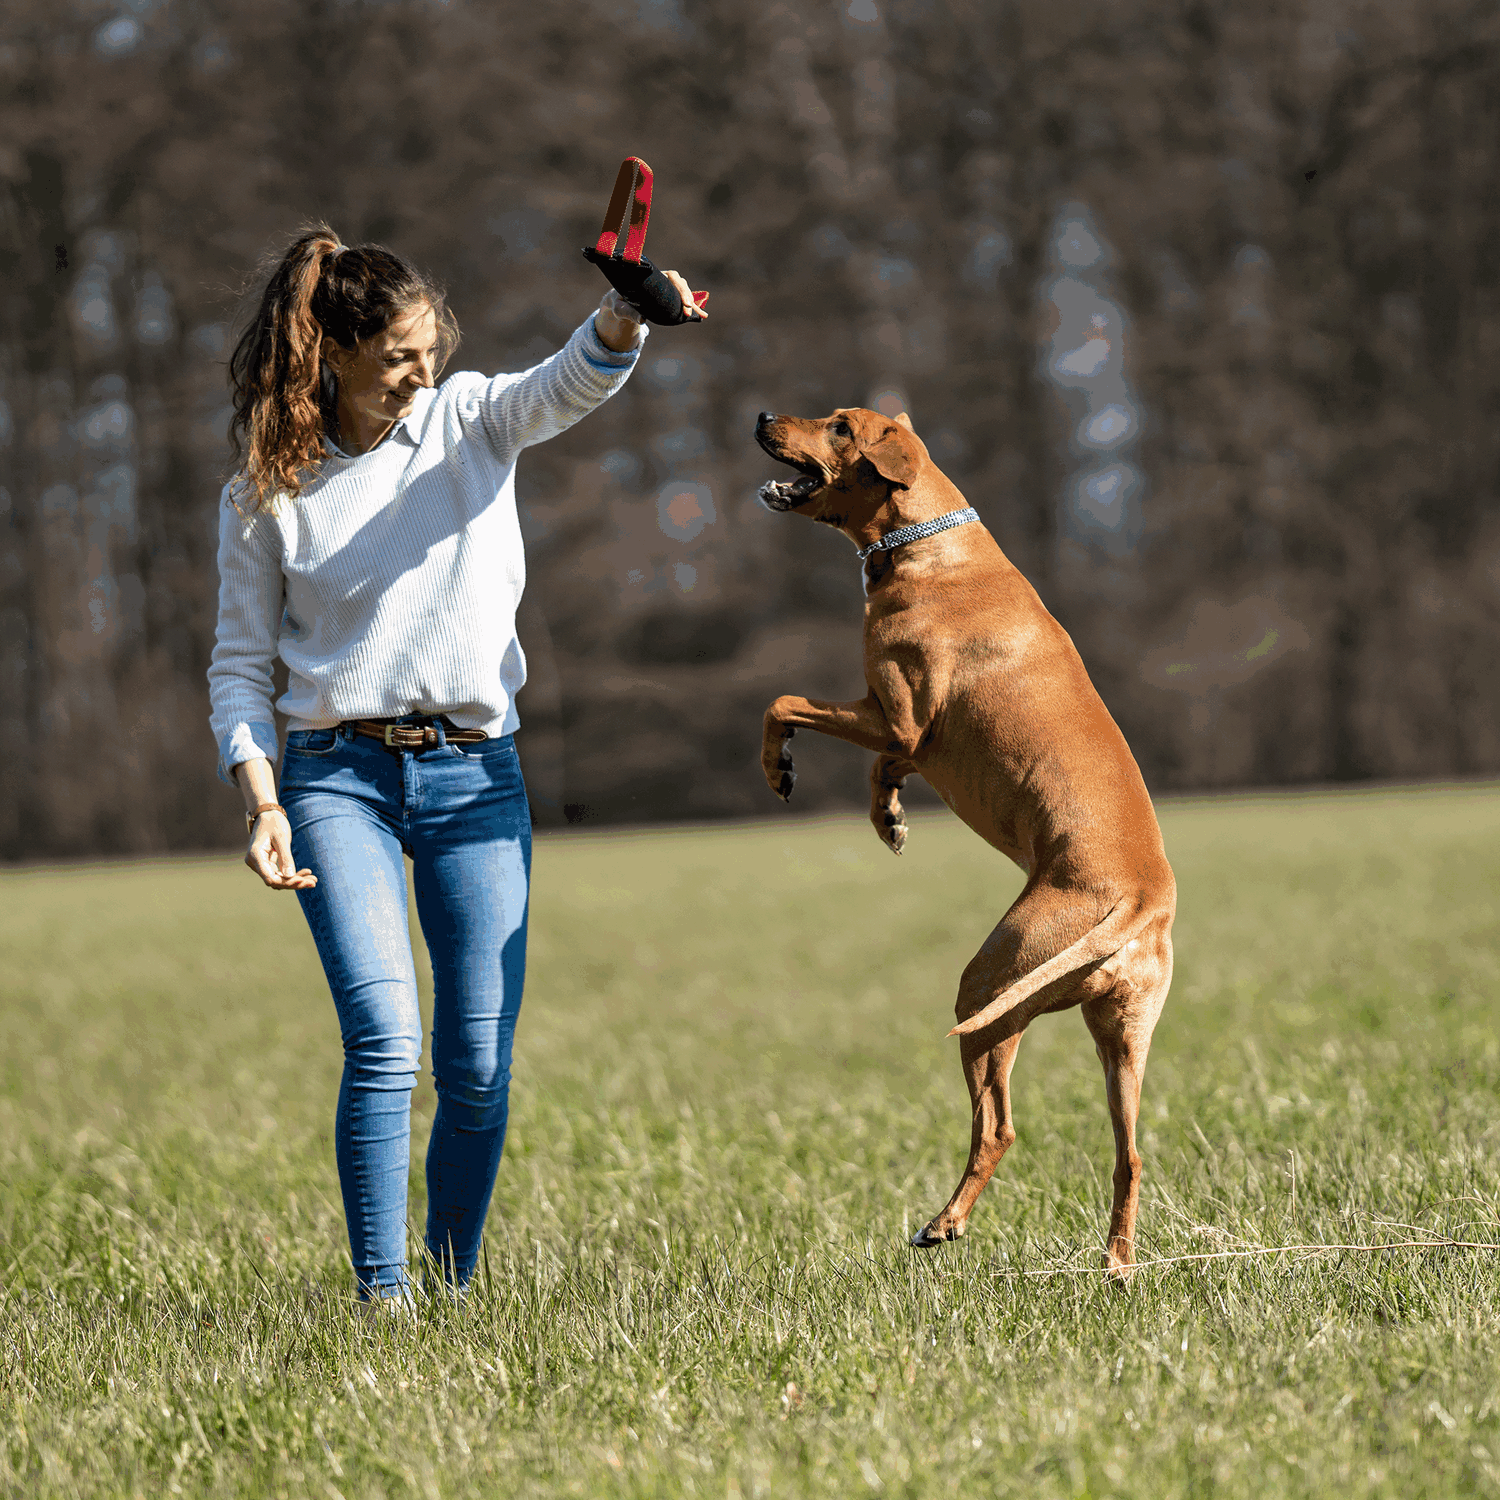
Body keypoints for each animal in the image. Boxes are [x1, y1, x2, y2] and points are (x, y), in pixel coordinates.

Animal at [756, 408, 1176, 1266]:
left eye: (838, 425)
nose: (762, 417)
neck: (927, 542)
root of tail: (1142, 898)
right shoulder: (895, 730)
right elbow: (876, 766)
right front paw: (887, 816)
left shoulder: (898, 717)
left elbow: (784, 704)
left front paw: (781, 766)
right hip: (1118, 1034)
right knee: (1128, 1152)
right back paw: (1116, 1264)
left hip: (989, 989)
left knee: (998, 1128)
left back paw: (943, 1223)